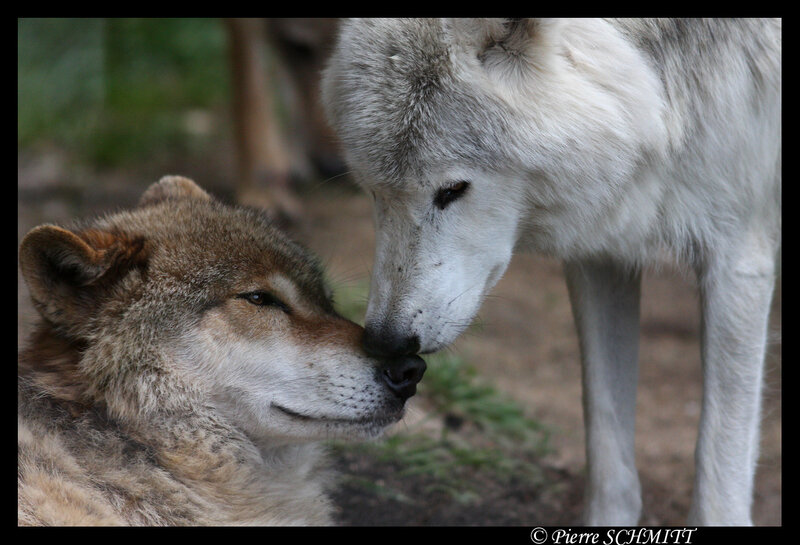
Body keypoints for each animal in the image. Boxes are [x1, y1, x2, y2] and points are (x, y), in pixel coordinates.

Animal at [321, 18, 781, 525]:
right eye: (374, 191)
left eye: (453, 189)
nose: (385, 341)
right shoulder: (603, 253)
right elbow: (607, 452)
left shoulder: (738, 254)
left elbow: (719, 470)